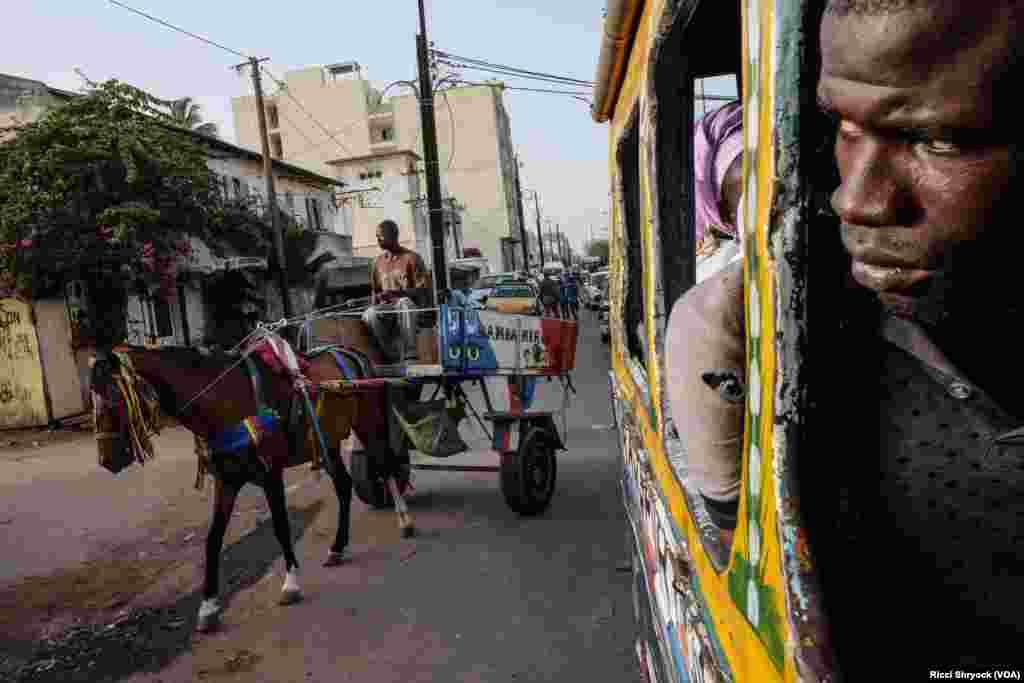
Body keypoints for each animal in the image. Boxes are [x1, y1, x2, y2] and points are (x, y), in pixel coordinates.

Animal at [87, 339, 407, 634]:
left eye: (113, 398)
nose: (106, 460)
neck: (226, 402)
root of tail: (351, 351)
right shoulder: (227, 481)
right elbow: (213, 540)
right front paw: (208, 606)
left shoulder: (270, 473)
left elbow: (281, 526)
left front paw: (291, 583)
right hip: (326, 441)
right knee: (344, 486)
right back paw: (338, 548)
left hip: (367, 423)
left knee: (386, 466)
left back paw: (405, 521)